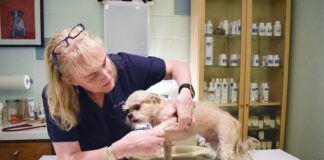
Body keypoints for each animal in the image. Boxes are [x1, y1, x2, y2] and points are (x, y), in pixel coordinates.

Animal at [124, 90, 253, 159]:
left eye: (137, 106)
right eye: (127, 110)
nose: (129, 115)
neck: (159, 109)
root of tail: (234, 120)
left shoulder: (173, 121)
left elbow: (159, 127)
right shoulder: (167, 143)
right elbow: (167, 155)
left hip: (226, 146)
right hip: (216, 145)